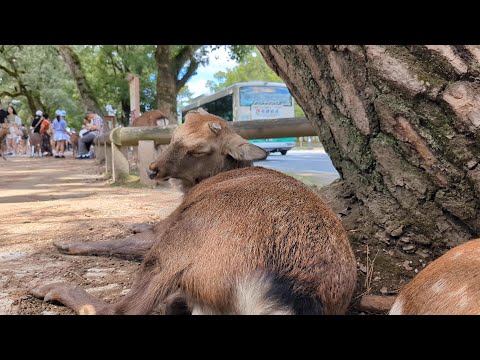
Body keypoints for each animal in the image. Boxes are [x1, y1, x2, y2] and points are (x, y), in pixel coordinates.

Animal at [31, 108, 356, 314]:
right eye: (174, 136)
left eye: (199, 150)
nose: (152, 169)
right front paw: (133, 223)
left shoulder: (171, 223)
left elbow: (120, 242)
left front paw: (65, 242)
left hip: (184, 238)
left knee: (123, 309)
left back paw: (52, 287)